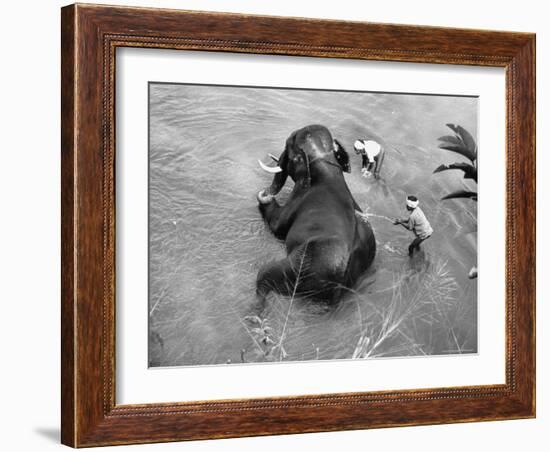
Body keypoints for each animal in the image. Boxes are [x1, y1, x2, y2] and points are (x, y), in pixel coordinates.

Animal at [256, 123, 378, 304]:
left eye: (287, 144)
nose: (265, 192)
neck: (327, 167)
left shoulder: (298, 198)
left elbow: (277, 226)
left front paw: (263, 197)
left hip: (298, 267)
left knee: (263, 275)